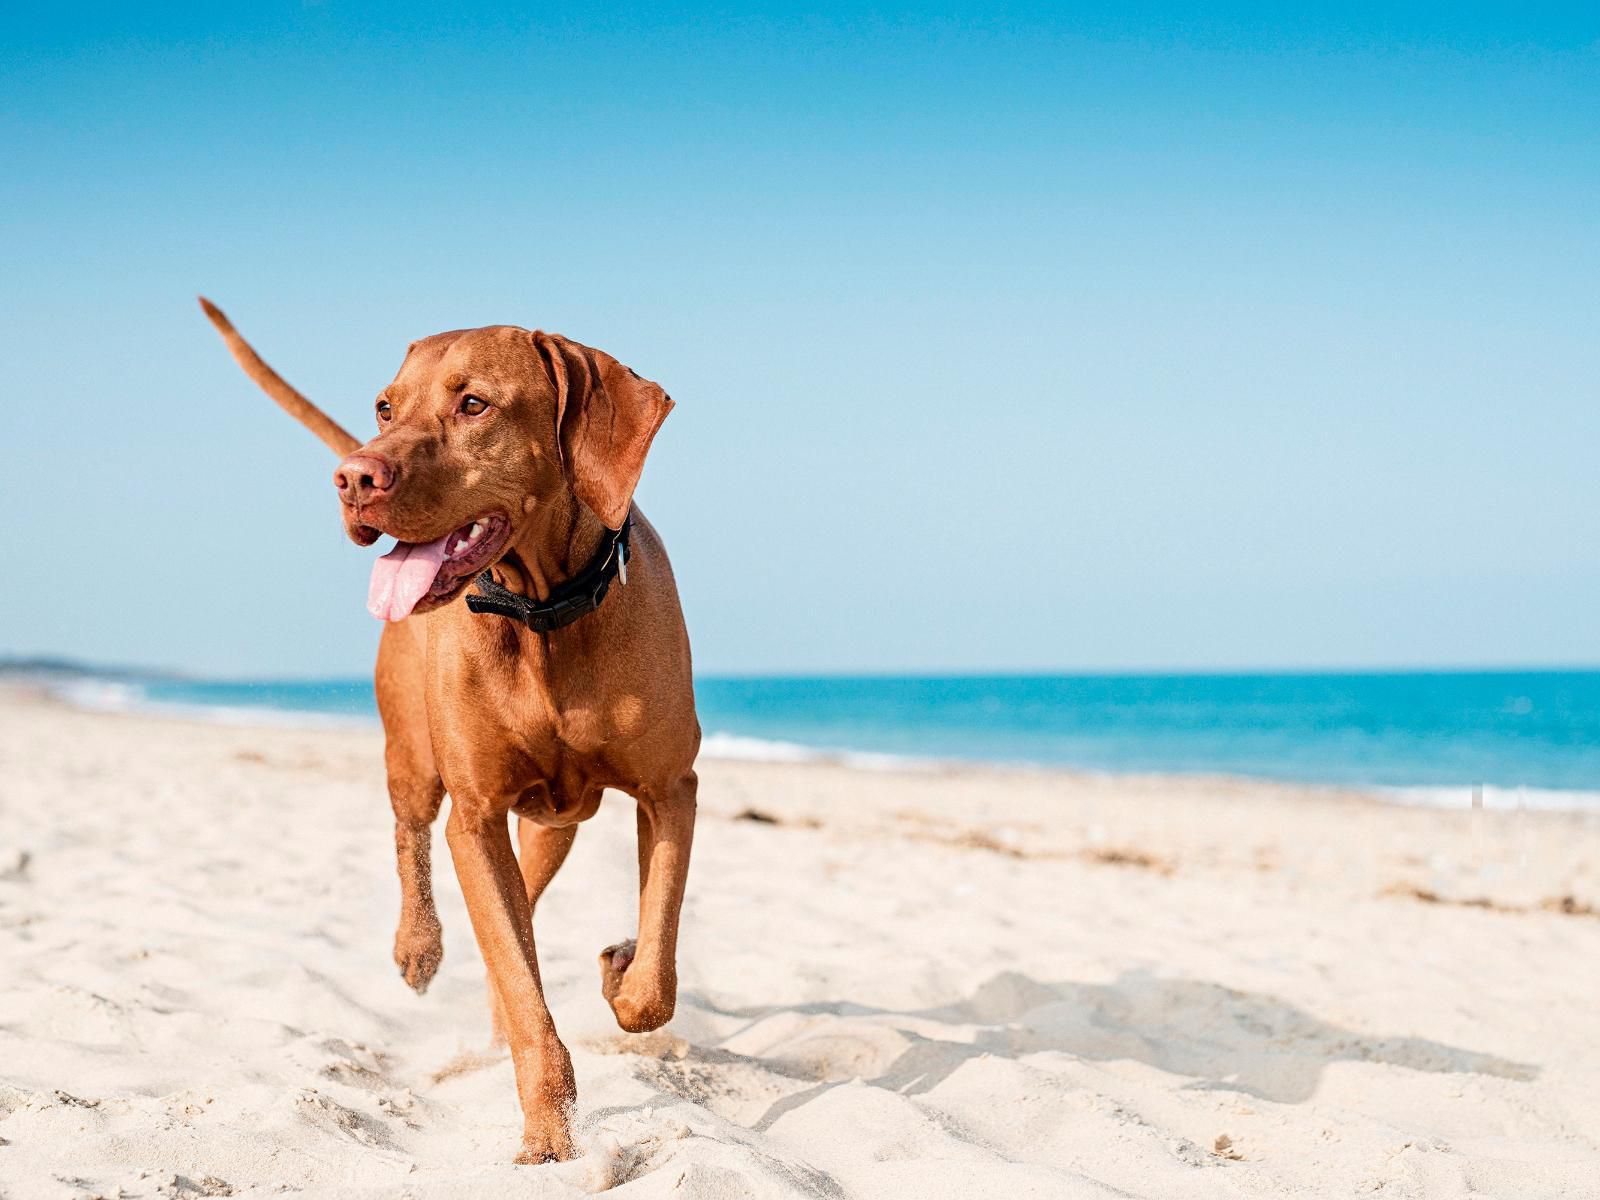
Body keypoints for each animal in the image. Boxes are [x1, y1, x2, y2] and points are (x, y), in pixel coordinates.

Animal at [200, 300, 700, 1164]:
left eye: (474, 405)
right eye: (384, 407)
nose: (354, 477)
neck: (544, 614)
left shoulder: (670, 789)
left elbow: (653, 978)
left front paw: (623, 972)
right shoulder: (475, 811)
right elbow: (526, 989)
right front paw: (548, 1139)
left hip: (555, 821)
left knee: (526, 900)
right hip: (412, 755)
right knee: (413, 836)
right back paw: (418, 945)